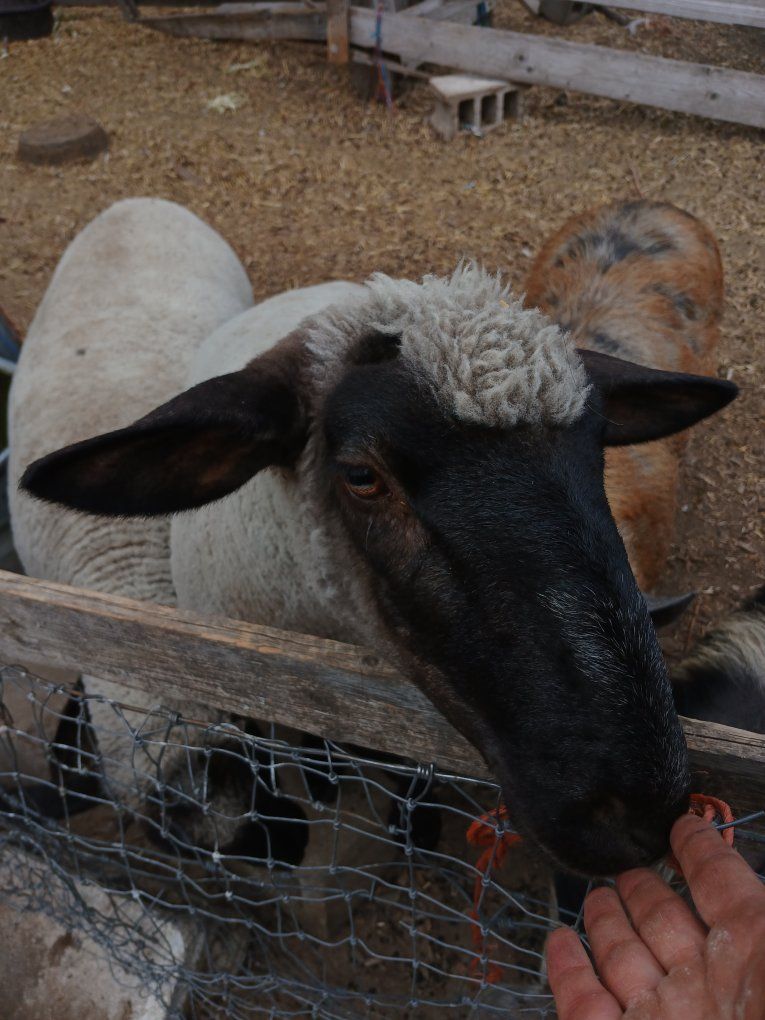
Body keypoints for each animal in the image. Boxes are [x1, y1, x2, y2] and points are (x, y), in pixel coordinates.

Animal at [12, 197, 737, 876]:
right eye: (361, 476)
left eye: (599, 448)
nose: (638, 811)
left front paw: (412, 827)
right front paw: (327, 786)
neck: (321, 634)